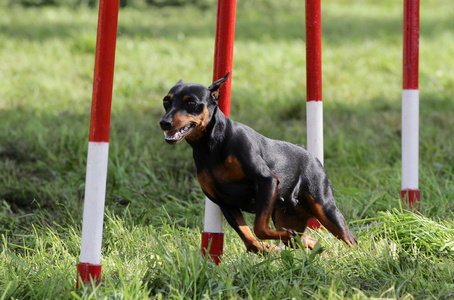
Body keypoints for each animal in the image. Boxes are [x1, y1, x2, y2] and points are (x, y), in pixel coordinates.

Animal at [158, 73, 356, 253]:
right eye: (166, 102)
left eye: (191, 103)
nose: (164, 122)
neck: (212, 146)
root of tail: (308, 153)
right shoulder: (224, 202)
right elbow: (250, 240)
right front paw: (268, 248)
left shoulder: (267, 181)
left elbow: (259, 228)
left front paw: (273, 242)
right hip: (288, 217)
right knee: (307, 240)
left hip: (325, 209)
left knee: (350, 239)